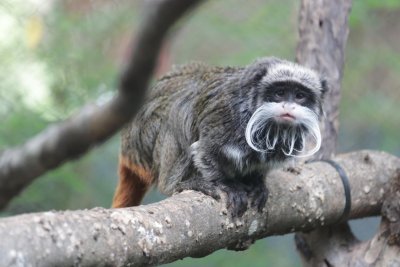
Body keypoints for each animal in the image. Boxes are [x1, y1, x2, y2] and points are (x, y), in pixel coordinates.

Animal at [111, 57, 326, 218]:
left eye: (300, 95)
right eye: (279, 92)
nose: (289, 106)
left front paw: (256, 183)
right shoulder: (225, 119)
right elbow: (204, 152)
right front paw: (226, 185)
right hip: (143, 140)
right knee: (178, 111)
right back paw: (176, 183)